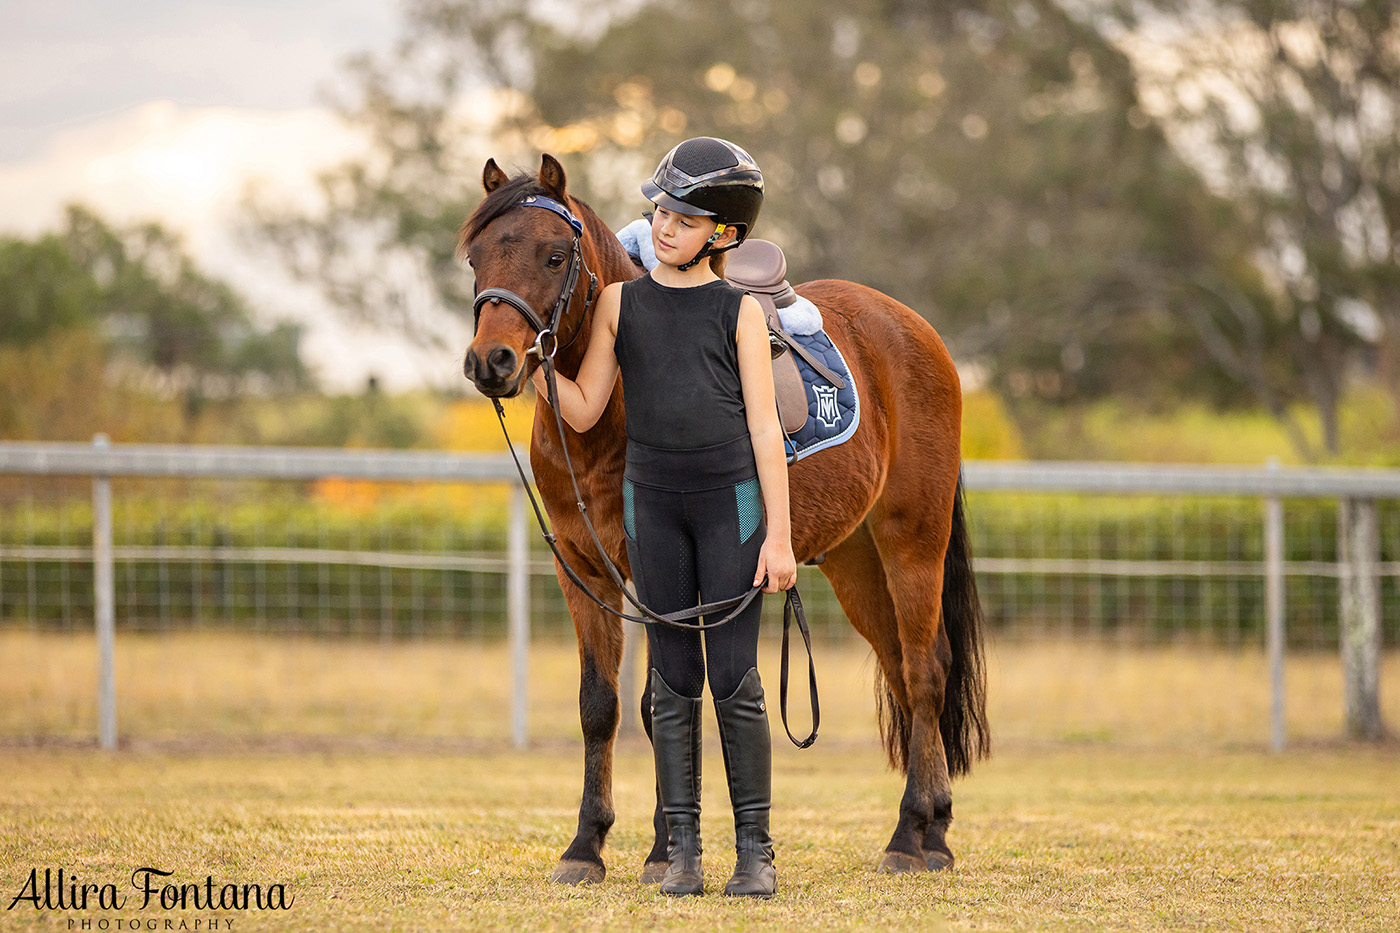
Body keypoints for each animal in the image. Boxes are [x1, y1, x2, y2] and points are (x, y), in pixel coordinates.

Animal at [459, 152, 985, 879]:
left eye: (554, 255)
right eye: (476, 257)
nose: (492, 362)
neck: (605, 418)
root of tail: (916, 331)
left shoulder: (657, 578)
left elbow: (658, 701)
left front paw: (662, 851)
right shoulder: (584, 573)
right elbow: (601, 705)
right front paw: (586, 845)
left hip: (912, 537)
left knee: (924, 671)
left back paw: (910, 837)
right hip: (855, 560)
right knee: (905, 671)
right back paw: (933, 827)